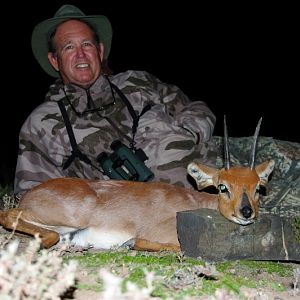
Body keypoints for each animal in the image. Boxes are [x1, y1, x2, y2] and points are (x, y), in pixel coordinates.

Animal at [0, 118, 274, 252]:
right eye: (222, 187)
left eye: (258, 188)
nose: (246, 212)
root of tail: (30, 195)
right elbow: (171, 245)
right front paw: (131, 243)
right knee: (10, 215)